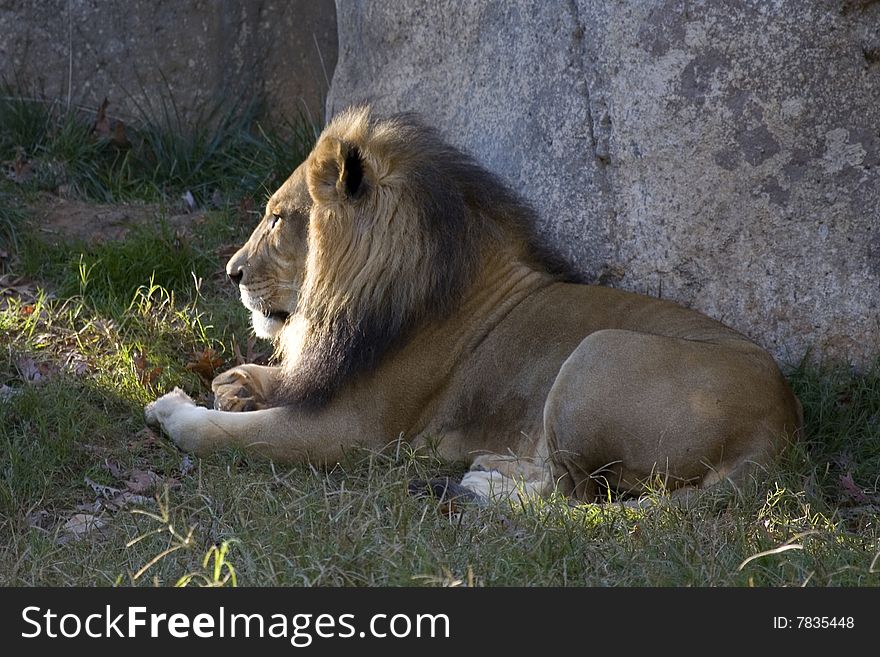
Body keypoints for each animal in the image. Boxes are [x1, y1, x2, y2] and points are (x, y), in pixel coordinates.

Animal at [144, 105, 804, 502]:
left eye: (280, 218)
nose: (231, 272)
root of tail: (780, 427)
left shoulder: (351, 430)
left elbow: (227, 437)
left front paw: (177, 409)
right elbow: (263, 381)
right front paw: (235, 384)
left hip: (596, 354)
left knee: (575, 491)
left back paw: (480, 486)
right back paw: (489, 466)